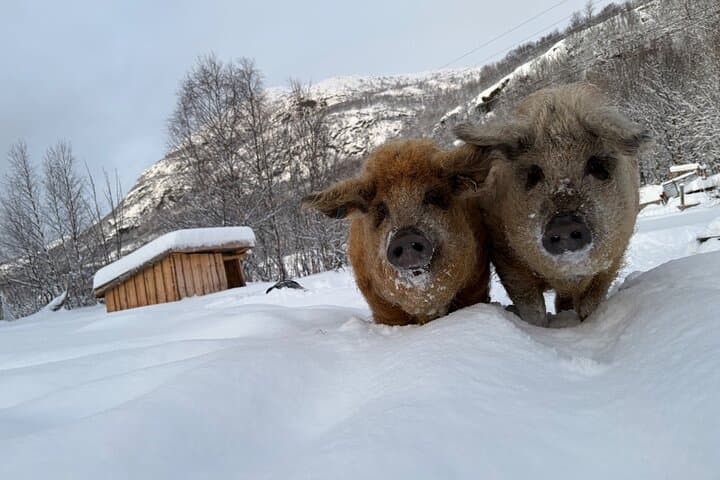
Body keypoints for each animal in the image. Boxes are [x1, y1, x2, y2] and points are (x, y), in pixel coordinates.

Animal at [454, 83, 649, 326]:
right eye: (533, 173)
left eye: (596, 166)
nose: (564, 223)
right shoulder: (506, 256)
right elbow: (532, 308)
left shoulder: (614, 258)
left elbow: (590, 302)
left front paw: (586, 323)